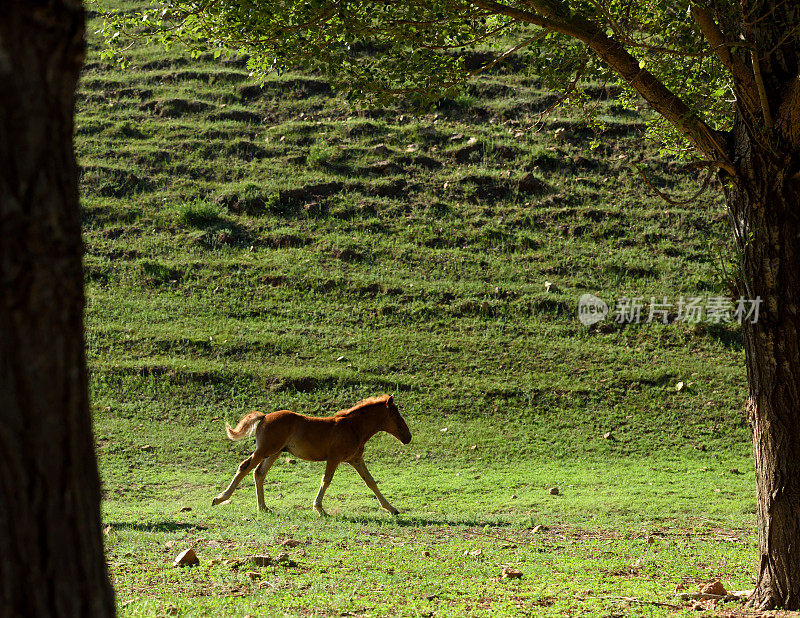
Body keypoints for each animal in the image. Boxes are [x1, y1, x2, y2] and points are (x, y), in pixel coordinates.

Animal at [212, 392, 412, 512]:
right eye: (396, 415)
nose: (408, 437)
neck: (353, 427)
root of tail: (265, 416)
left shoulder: (355, 459)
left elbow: (371, 482)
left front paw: (391, 508)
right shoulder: (334, 457)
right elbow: (326, 480)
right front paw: (319, 508)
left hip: (275, 452)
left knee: (259, 473)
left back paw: (262, 507)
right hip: (265, 450)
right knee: (244, 467)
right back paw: (220, 498)